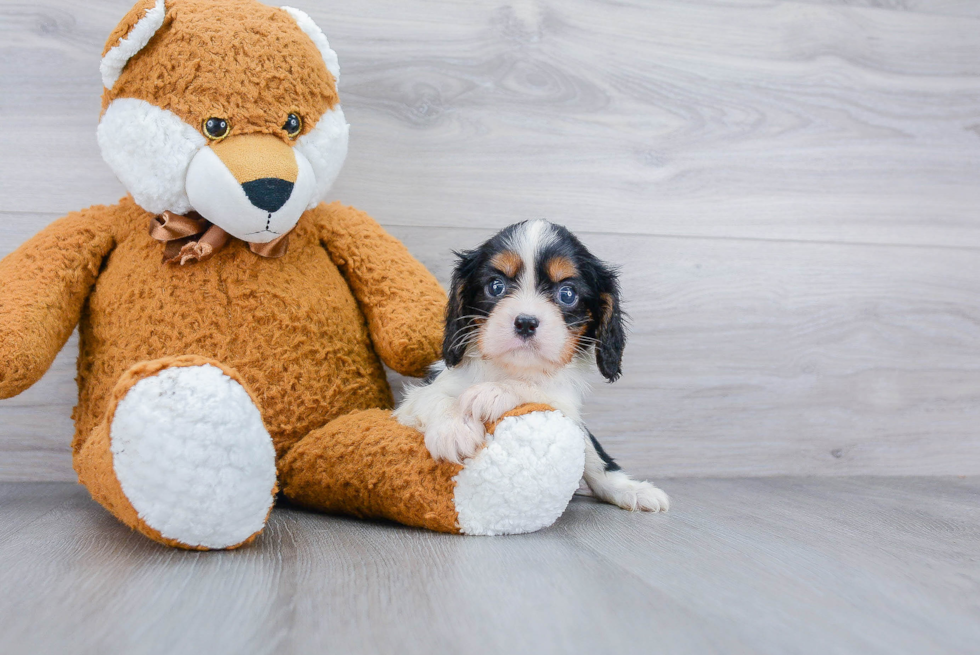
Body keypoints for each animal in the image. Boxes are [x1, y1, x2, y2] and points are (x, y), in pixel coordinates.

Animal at [394, 220, 668, 512]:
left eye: (567, 294)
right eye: (496, 286)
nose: (525, 322)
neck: (510, 369)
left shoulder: (564, 403)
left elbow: (540, 394)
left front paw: (494, 391)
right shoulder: (415, 399)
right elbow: (435, 397)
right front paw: (454, 428)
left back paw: (632, 490)